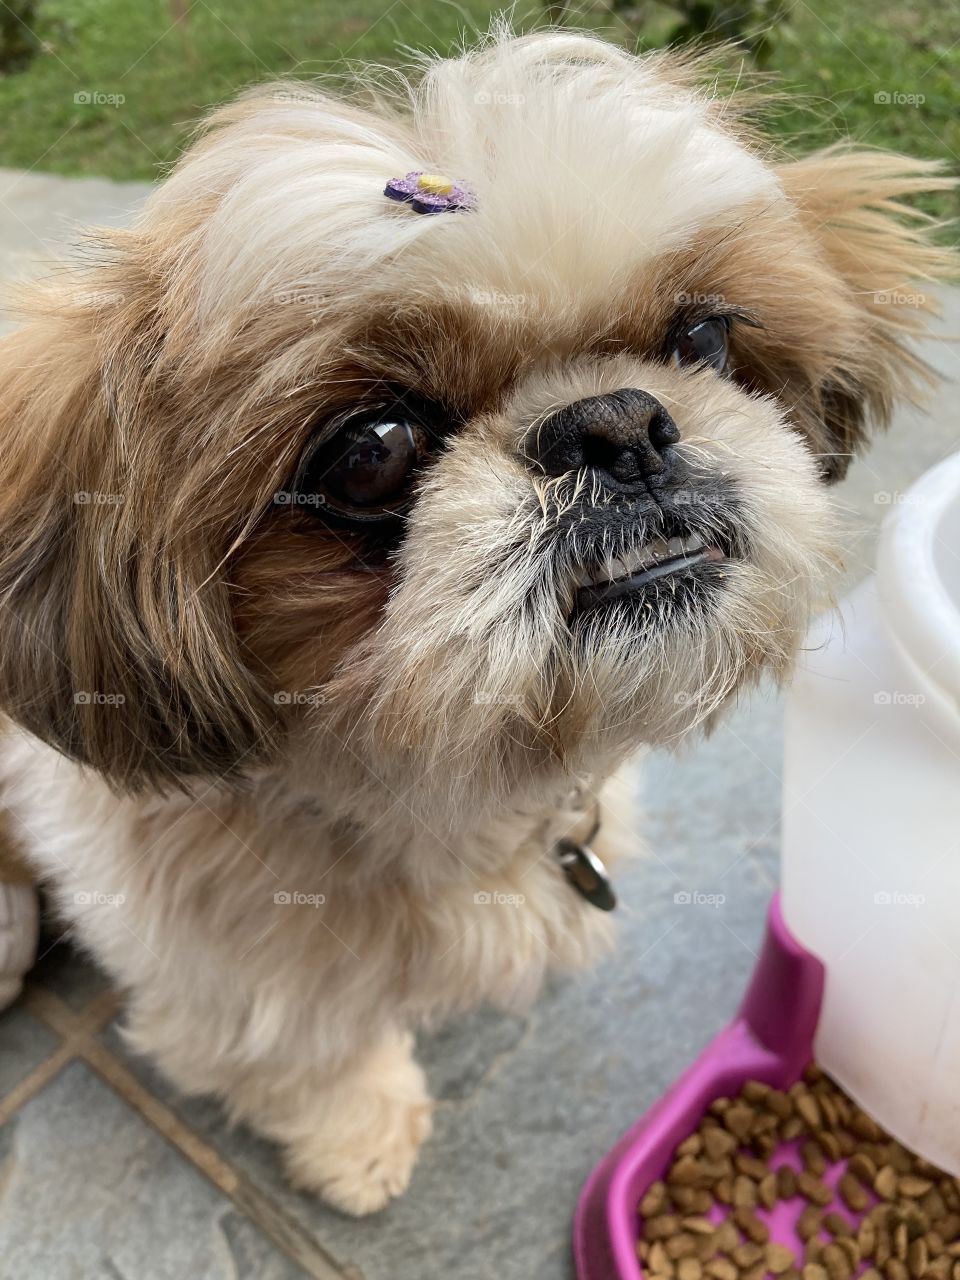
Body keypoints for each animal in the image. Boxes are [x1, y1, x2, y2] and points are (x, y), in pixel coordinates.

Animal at [0, 27, 957, 1208]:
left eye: (701, 339)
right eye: (372, 450)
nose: (615, 423)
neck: (432, 799)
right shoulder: (228, 969)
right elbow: (306, 1053)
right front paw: (358, 1137)